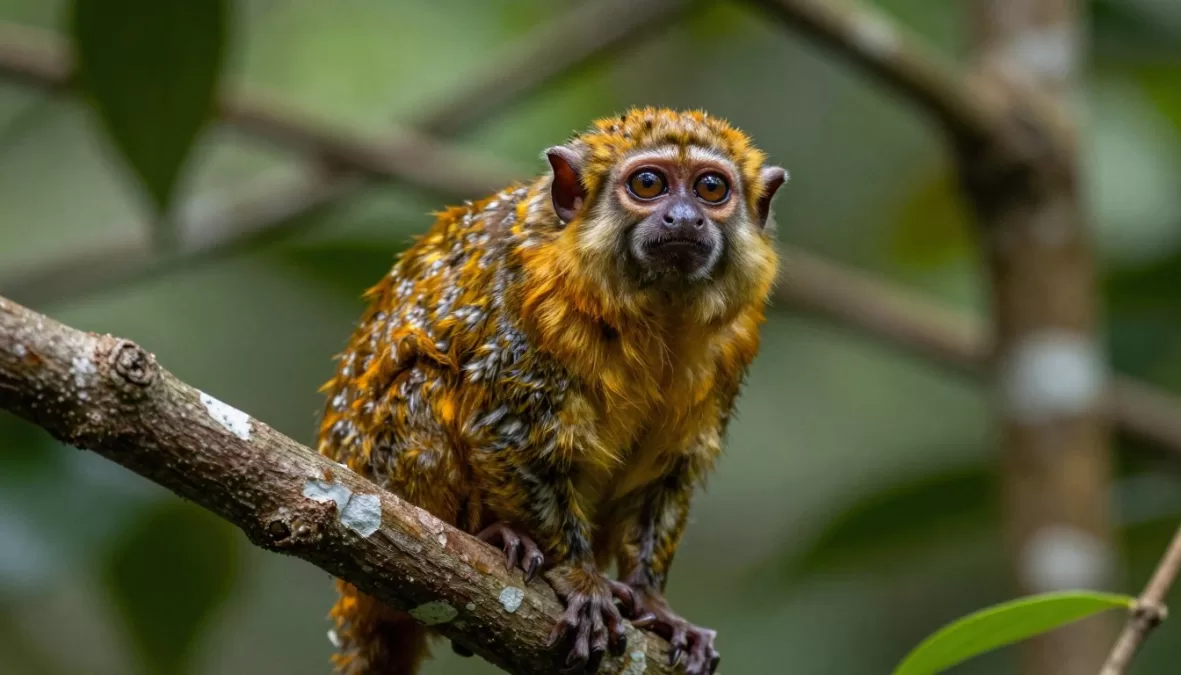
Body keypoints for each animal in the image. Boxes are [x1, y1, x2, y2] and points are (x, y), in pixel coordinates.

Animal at [316, 107, 786, 675]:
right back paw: (490, 535)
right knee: (423, 379)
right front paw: (578, 576)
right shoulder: (528, 309)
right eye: (648, 184)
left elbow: (671, 471)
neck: (657, 309)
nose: (684, 217)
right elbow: (506, 429)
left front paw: (653, 602)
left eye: (711, 189)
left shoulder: (734, 345)